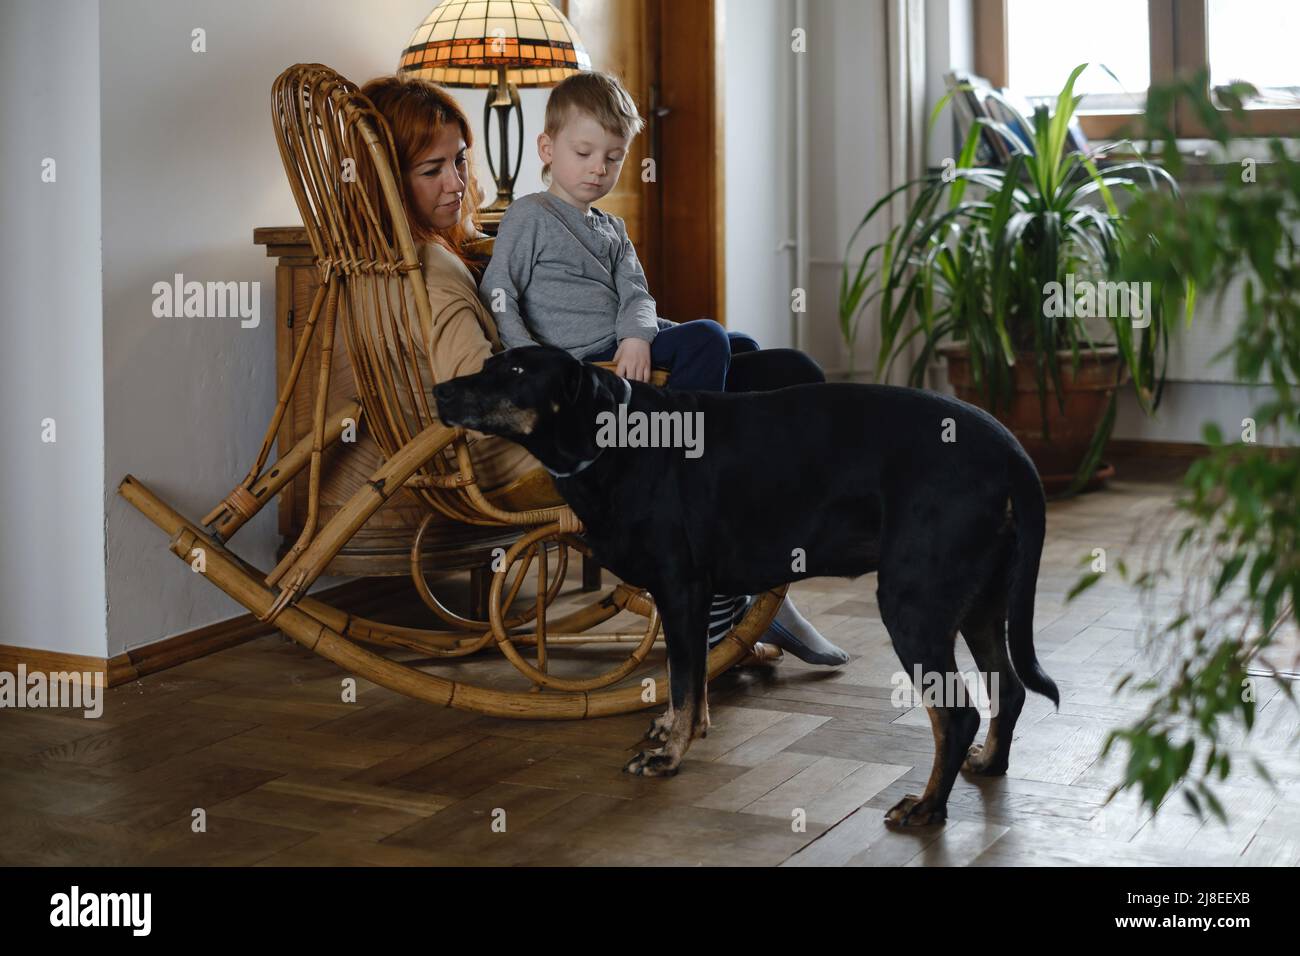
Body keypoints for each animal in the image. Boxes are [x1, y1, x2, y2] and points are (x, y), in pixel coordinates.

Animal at [436, 348, 1055, 827]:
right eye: (489, 362)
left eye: (517, 371)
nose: (440, 391)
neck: (616, 439)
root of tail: (1009, 449)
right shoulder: (689, 596)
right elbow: (688, 678)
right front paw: (676, 731)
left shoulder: (681, 588)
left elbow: (684, 679)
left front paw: (670, 756)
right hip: (978, 602)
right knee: (1009, 688)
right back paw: (988, 763)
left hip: (914, 603)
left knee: (956, 715)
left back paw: (927, 808)